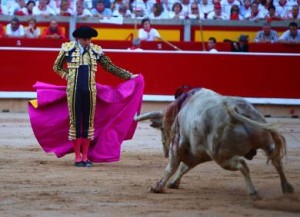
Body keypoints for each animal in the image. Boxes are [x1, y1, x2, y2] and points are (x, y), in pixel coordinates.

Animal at [135, 87, 294, 199]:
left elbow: (172, 167)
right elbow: (185, 167)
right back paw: (287, 188)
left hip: (220, 155)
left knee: (242, 164)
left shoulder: (178, 144)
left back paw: (254, 193)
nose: (164, 152)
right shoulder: (198, 152)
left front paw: (157, 187)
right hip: (265, 142)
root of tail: (236, 109)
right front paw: (173, 183)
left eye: (162, 128)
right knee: (277, 161)